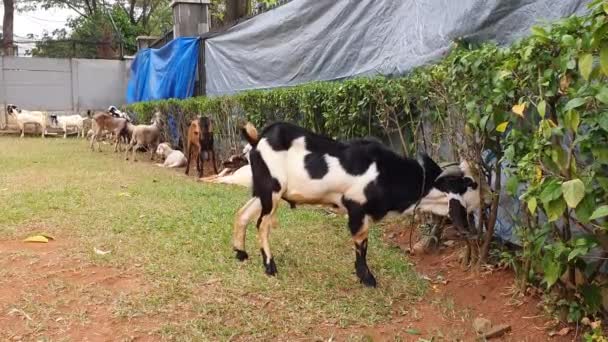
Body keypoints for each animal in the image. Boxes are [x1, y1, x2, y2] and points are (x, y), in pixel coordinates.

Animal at [233, 121, 480, 288]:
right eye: (470, 183)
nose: (484, 204)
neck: (387, 173)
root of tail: (257, 140)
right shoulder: (357, 208)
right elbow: (362, 245)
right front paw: (368, 279)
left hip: (263, 192)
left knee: (242, 213)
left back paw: (240, 254)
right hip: (272, 190)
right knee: (262, 224)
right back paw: (269, 266)